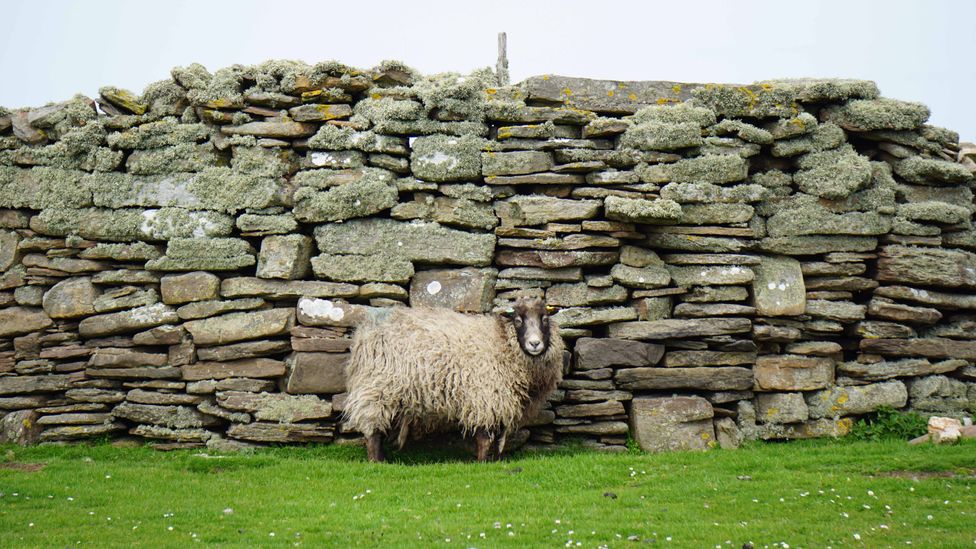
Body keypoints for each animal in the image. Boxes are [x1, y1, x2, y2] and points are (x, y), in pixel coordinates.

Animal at [342, 296, 564, 462]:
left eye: (545, 319)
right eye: (518, 320)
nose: (534, 344)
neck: (501, 341)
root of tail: (365, 330)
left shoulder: (503, 399)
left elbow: (500, 437)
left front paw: (496, 460)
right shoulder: (485, 395)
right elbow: (485, 437)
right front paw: (483, 462)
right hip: (377, 387)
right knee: (372, 427)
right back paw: (376, 461)